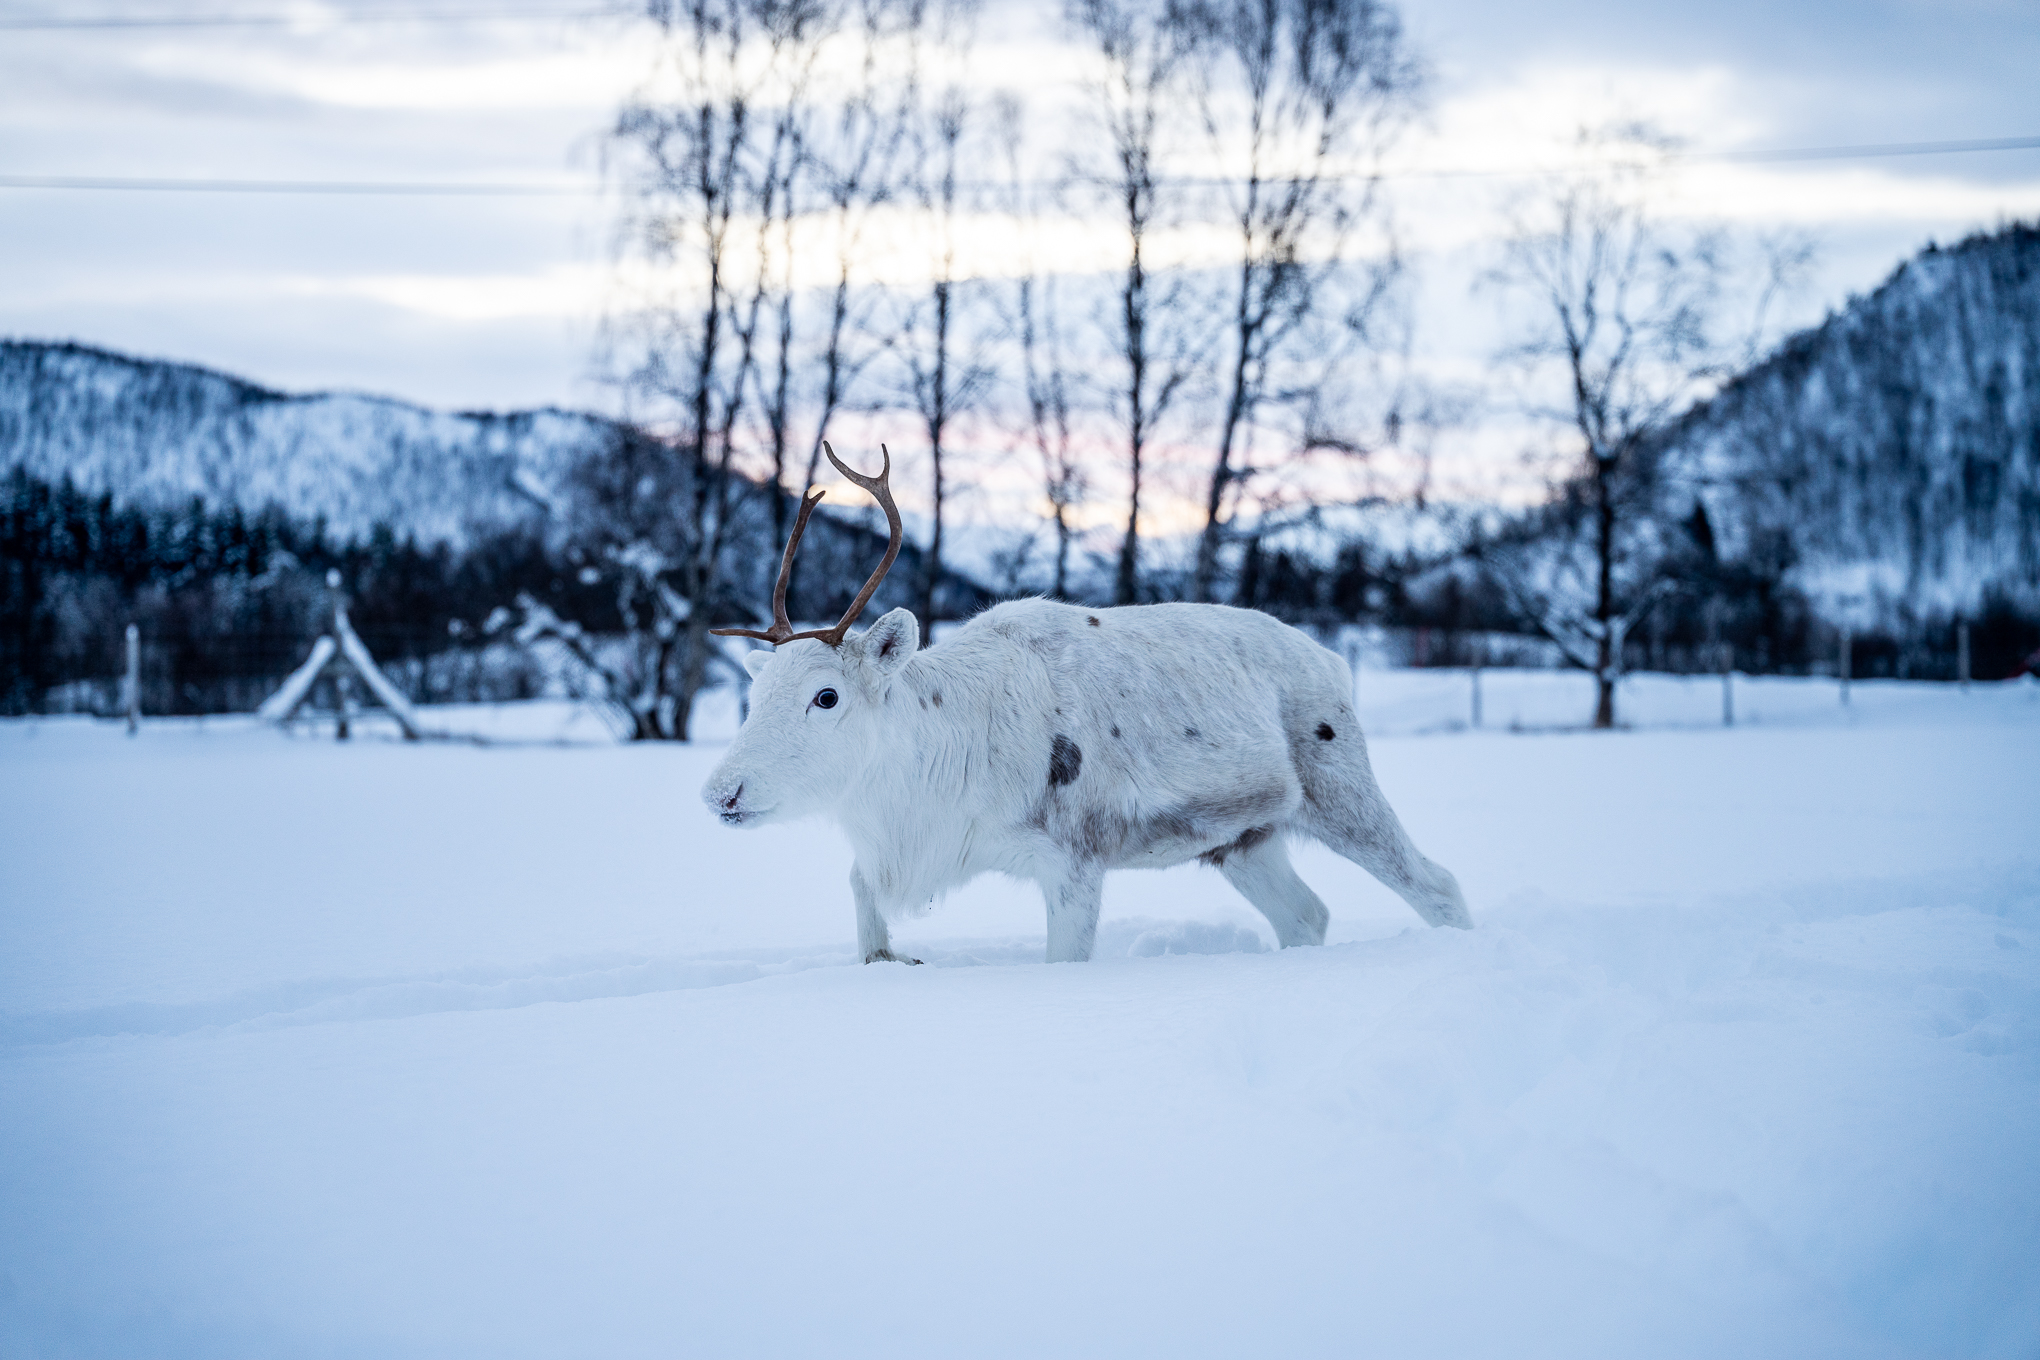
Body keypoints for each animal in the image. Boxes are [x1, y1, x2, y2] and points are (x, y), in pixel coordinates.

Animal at [701, 445, 1471, 964]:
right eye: (755, 693)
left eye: (826, 696)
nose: (720, 792)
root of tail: (1335, 661)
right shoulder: (895, 864)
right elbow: (866, 917)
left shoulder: (1075, 857)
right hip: (1243, 840)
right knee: (1307, 915)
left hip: (1339, 786)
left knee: (1437, 883)